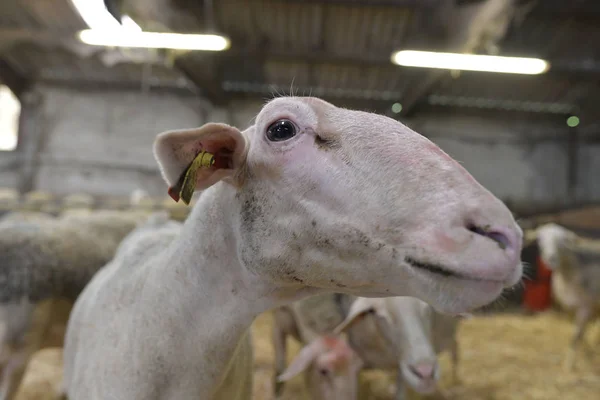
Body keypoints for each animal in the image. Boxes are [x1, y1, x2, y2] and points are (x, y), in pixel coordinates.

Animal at [532, 223, 600, 370]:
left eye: (562, 241)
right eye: (540, 240)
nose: (551, 259)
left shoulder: (585, 307)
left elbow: (576, 336)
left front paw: (569, 364)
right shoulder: (569, 307)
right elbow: (580, 334)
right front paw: (587, 352)